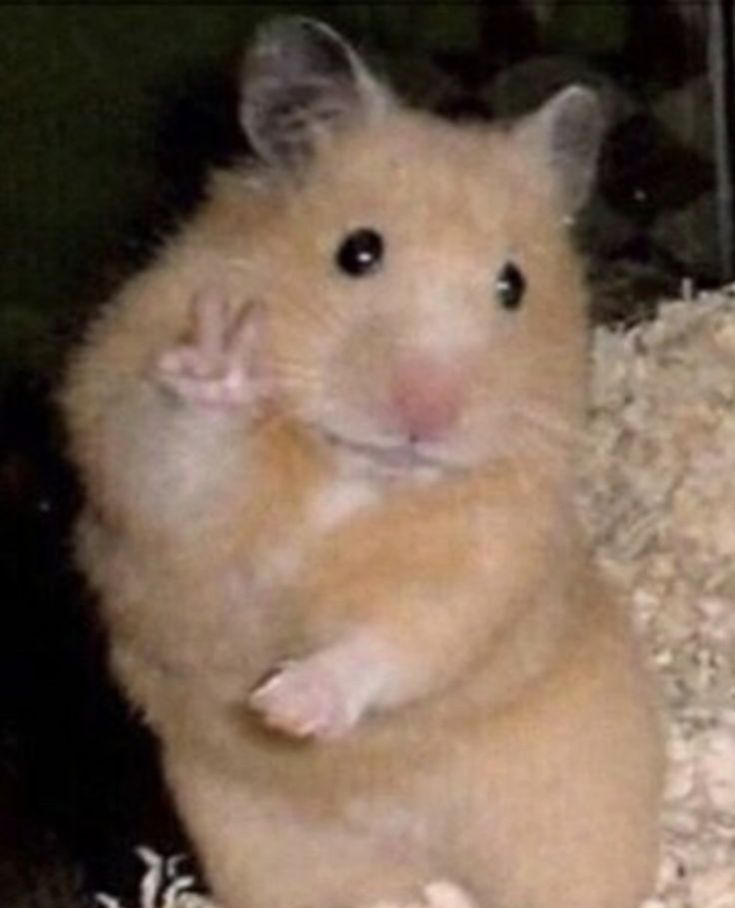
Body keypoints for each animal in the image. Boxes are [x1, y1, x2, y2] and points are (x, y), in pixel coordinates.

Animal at [60, 15, 664, 908]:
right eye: (357, 252)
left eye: (512, 286)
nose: (426, 413)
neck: (357, 476)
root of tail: (421, 857)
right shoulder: (136, 462)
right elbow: (180, 455)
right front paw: (224, 361)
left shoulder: (491, 555)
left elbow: (404, 635)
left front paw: (287, 707)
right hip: (281, 857)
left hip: (573, 811)